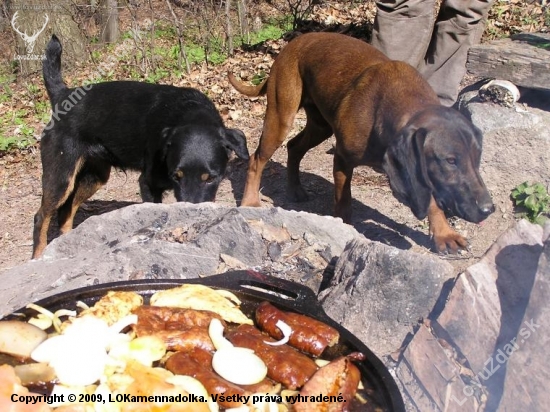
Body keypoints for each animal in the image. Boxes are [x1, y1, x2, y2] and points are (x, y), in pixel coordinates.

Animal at [33, 34, 249, 258]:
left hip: (94, 176)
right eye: (176, 177)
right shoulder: (148, 183)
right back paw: (38, 256)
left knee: (66, 210)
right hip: (61, 176)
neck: (190, 113)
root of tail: (63, 95)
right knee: (41, 217)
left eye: (211, 179)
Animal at [229, 32, 496, 253]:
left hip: (321, 127)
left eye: (477, 158)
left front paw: (444, 234)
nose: (488, 209)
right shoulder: (343, 160)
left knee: (294, 147)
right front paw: (346, 228)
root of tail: (292, 43)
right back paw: (250, 200)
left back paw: (295, 189)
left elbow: (430, 199)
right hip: (281, 116)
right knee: (256, 159)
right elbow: (344, 201)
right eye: (450, 161)